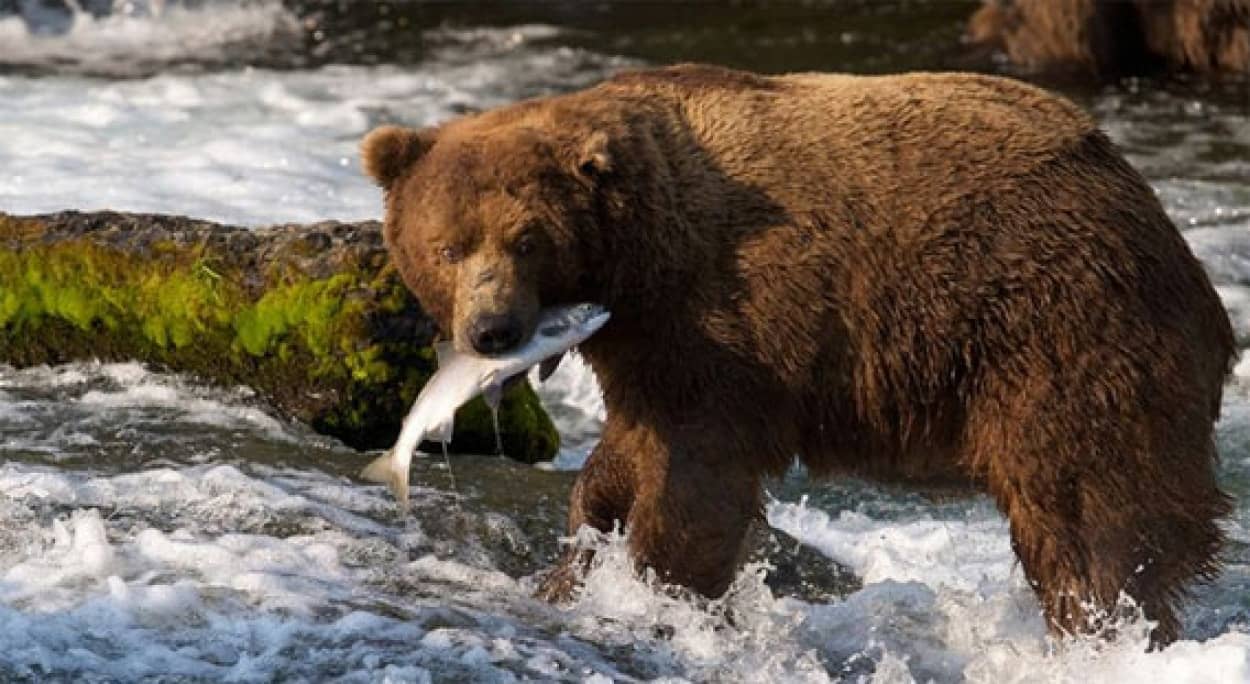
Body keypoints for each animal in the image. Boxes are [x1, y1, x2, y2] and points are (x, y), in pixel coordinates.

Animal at [362, 65, 1240, 650]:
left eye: (526, 239)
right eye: (447, 244)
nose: (491, 331)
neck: (640, 258)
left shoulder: (730, 319)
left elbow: (697, 474)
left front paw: (657, 593)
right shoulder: (648, 345)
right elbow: (624, 455)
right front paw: (573, 567)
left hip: (1059, 332)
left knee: (1090, 506)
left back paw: (1105, 626)